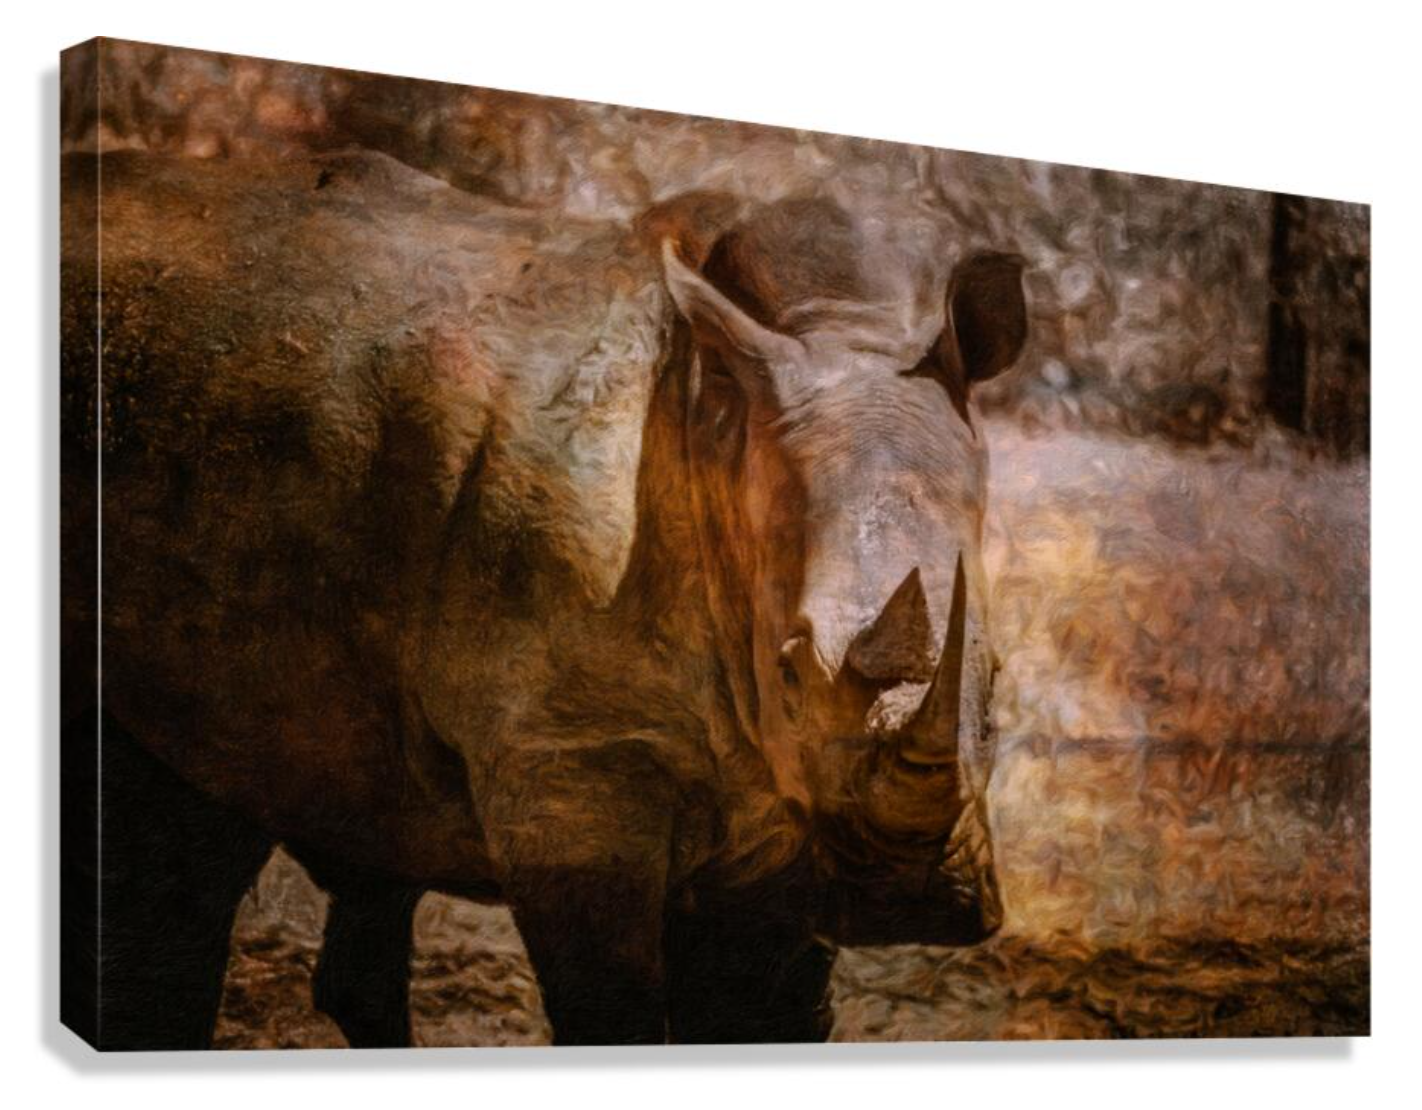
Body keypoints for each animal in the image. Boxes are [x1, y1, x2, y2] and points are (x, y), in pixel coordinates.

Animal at [60, 147, 1027, 1048]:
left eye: (997, 685)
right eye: (789, 671)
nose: (901, 898)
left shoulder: (779, 810)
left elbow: (761, 1010)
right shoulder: (567, 763)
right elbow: (614, 1010)